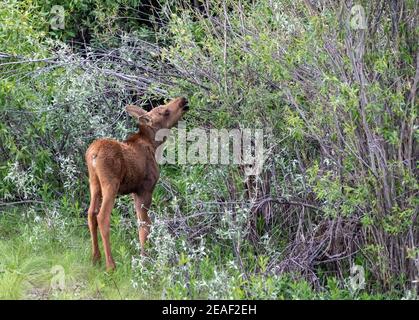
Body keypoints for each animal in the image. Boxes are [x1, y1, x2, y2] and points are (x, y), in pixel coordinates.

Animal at [84, 97, 188, 270]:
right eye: (165, 111)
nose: (183, 100)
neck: (154, 145)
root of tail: (94, 154)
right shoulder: (145, 189)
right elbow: (144, 225)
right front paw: (146, 260)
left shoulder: (134, 191)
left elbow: (143, 223)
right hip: (110, 184)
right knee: (102, 216)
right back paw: (111, 265)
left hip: (94, 183)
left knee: (91, 214)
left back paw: (95, 258)